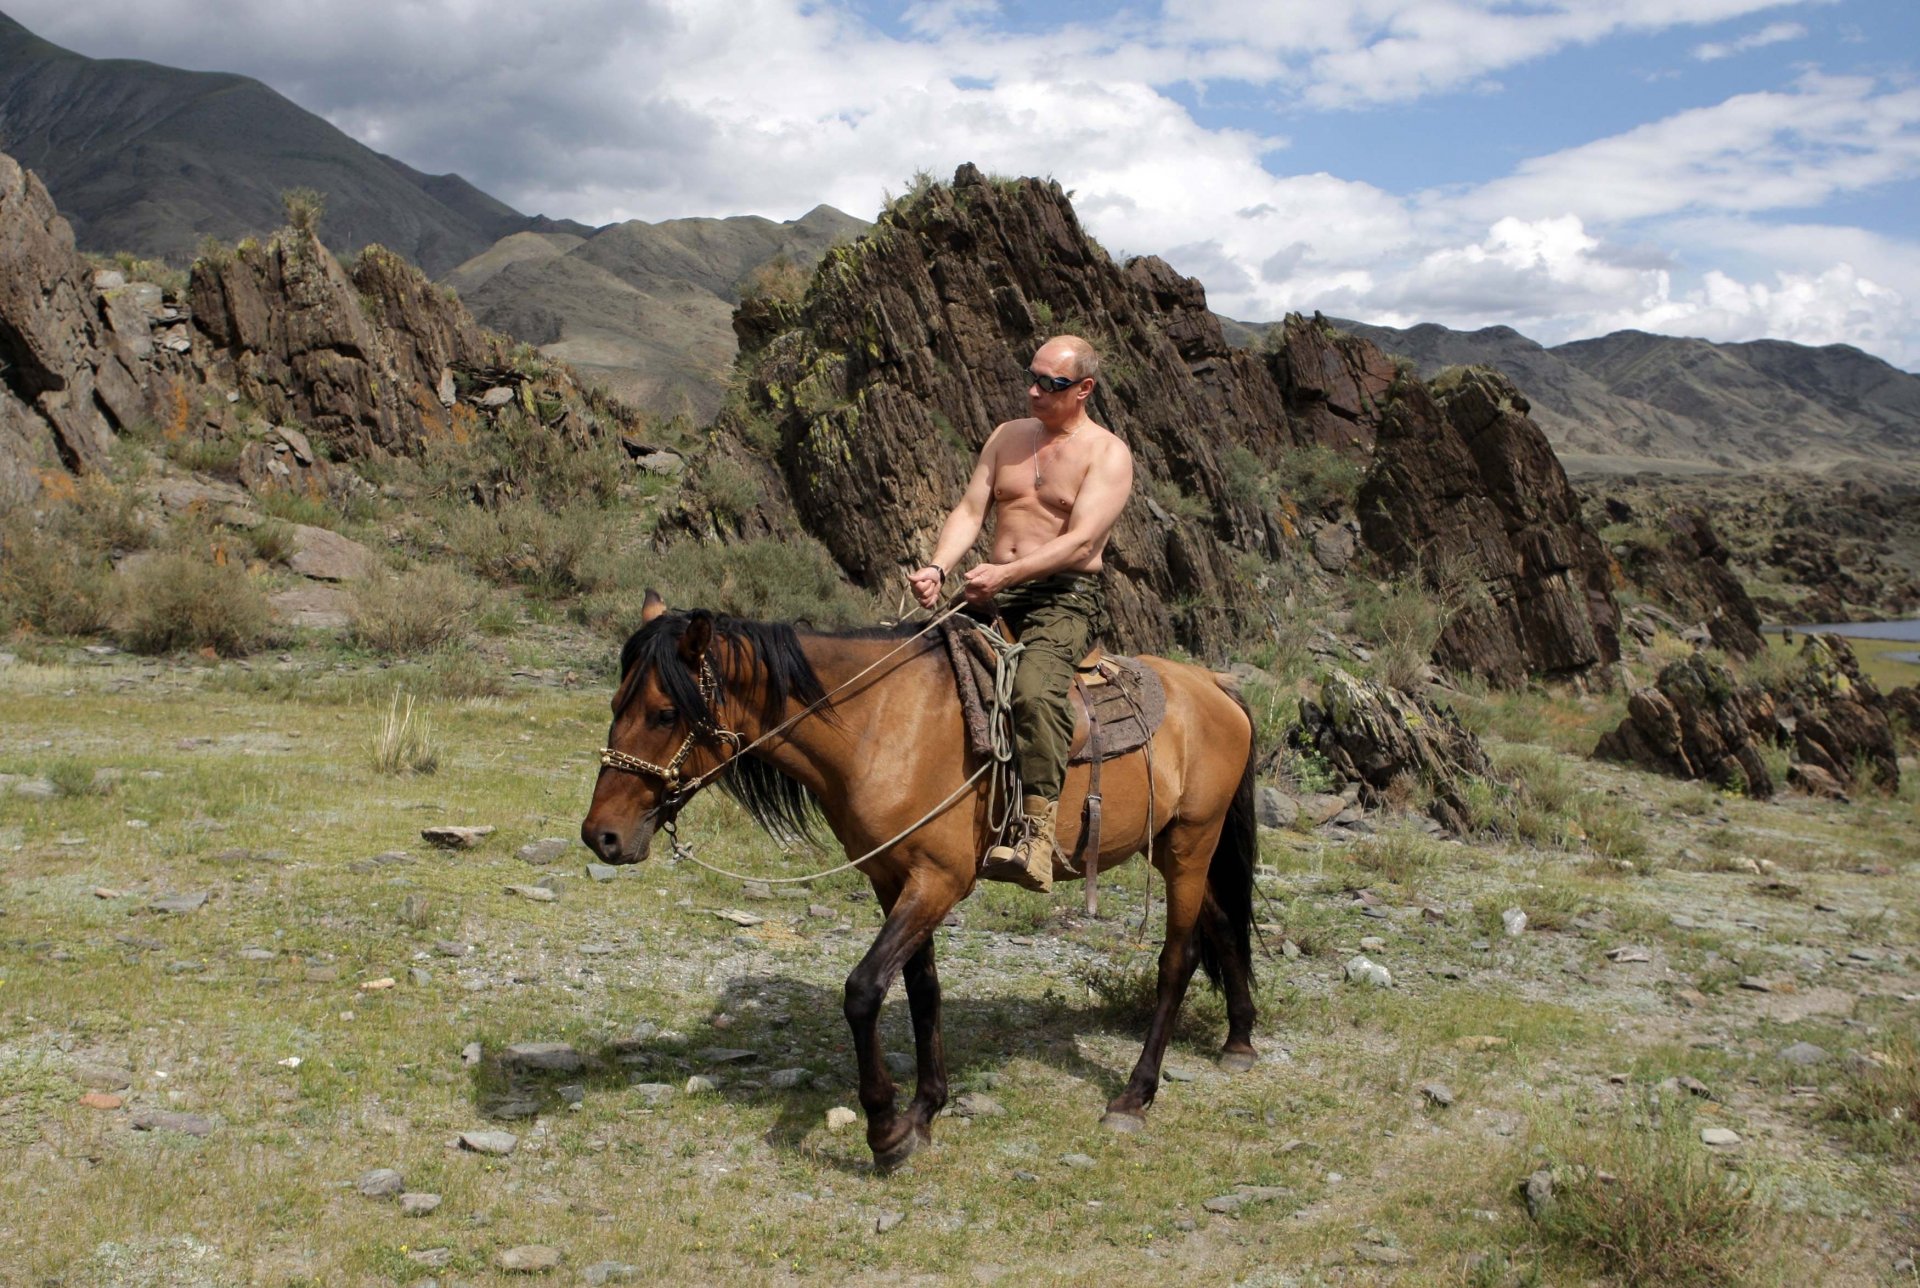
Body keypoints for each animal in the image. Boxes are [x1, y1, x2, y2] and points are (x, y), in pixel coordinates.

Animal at [576, 595, 1251, 1167]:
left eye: (665, 713)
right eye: (614, 707)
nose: (600, 836)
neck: (880, 726)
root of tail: (1214, 687)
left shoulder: (939, 881)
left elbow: (864, 990)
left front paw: (885, 1129)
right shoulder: (892, 878)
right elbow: (922, 988)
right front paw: (925, 1111)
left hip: (1190, 843)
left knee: (1178, 959)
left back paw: (1135, 1096)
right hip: (1175, 847)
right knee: (1223, 924)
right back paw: (1239, 1040)